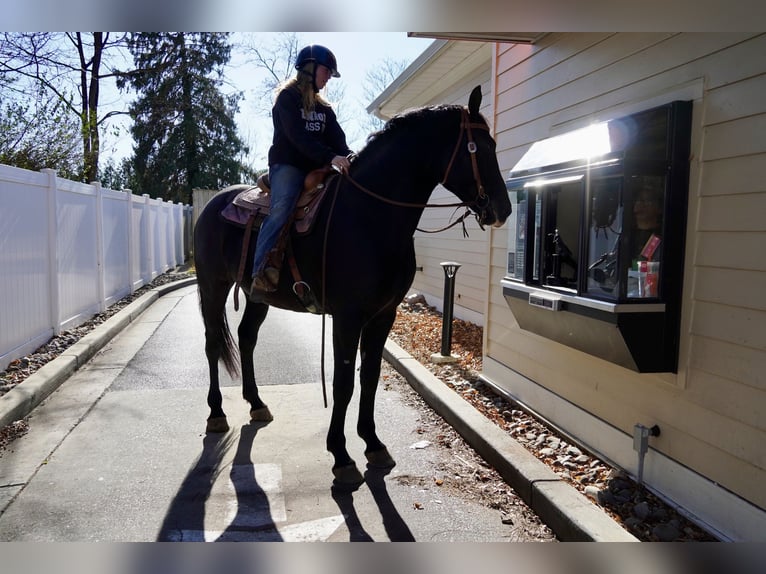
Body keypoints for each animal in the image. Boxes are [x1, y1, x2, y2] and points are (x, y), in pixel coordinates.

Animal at [193, 85, 512, 489]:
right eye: (480, 148)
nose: (502, 209)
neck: (370, 215)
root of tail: (213, 205)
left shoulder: (383, 315)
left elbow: (369, 377)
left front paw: (373, 443)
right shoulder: (347, 317)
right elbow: (343, 382)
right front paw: (341, 456)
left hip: (256, 295)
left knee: (247, 337)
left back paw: (257, 403)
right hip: (213, 285)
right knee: (212, 343)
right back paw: (216, 413)